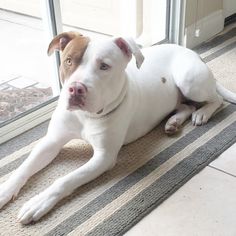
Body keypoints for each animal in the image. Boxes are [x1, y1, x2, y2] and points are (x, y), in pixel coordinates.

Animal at [0, 32, 236, 224]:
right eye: (68, 61)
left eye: (104, 66)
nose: (75, 89)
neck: (86, 116)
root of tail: (192, 53)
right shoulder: (51, 141)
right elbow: (24, 167)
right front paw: (4, 190)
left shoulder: (104, 157)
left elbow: (65, 179)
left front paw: (38, 202)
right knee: (186, 105)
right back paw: (173, 122)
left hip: (190, 81)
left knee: (215, 100)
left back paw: (202, 113)